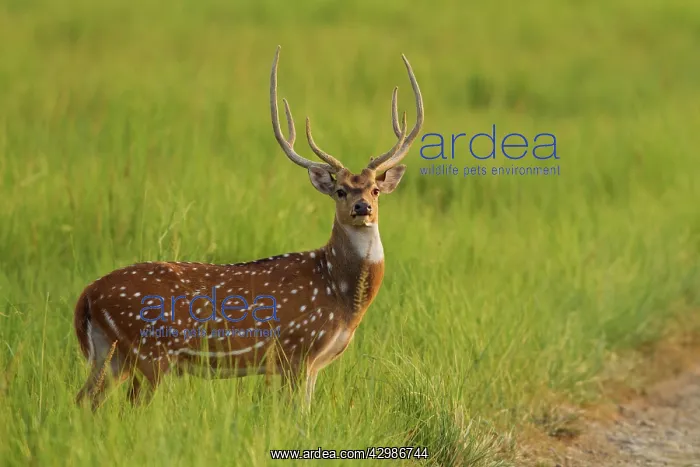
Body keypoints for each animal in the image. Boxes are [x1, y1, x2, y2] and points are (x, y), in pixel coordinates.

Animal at [73, 45, 424, 411]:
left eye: (374, 189)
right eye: (340, 190)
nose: (362, 208)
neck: (339, 295)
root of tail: (87, 295)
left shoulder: (313, 363)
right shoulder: (296, 348)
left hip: (110, 353)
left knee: (84, 401)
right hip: (150, 351)